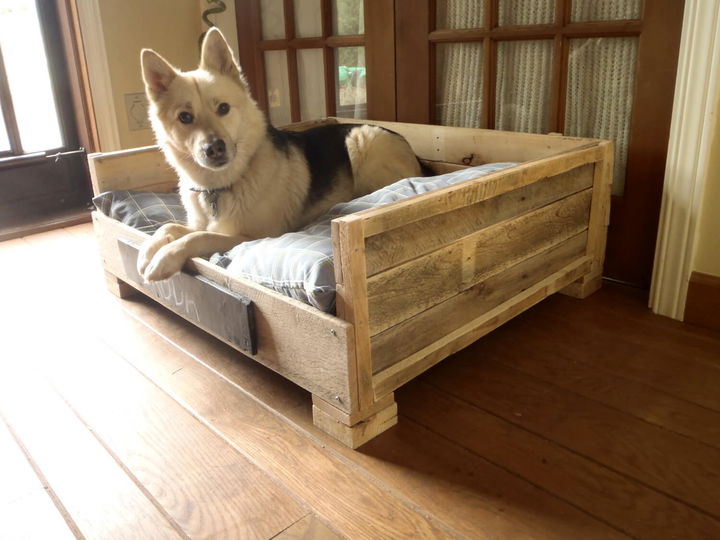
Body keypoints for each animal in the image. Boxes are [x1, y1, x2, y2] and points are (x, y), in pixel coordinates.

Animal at [136, 28, 422, 282]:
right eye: (185, 117)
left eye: (223, 108)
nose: (214, 148)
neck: (222, 186)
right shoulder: (198, 223)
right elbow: (169, 227)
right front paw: (147, 250)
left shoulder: (252, 237)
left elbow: (199, 237)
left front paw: (164, 259)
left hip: (360, 139)